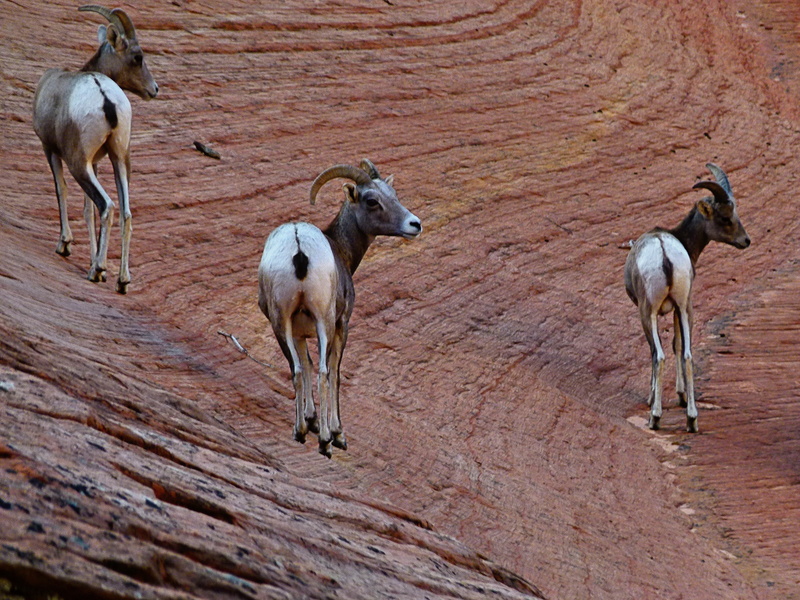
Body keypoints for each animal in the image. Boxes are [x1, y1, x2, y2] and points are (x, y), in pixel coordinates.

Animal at [33, 5, 158, 294]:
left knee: (107, 205)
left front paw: (65, 245)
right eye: (138, 57)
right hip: (120, 159)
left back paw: (97, 270)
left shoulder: (51, 150)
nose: (154, 89)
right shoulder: (98, 161)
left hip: (78, 164)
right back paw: (122, 280)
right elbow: (88, 211)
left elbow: (62, 191)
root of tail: (105, 98)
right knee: (125, 212)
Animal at [258, 159, 422, 457]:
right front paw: (337, 433)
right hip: (324, 319)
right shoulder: (341, 323)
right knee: (324, 372)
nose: (414, 224)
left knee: (296, 370)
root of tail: (298, 245)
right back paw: (325, 441)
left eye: (394, 195)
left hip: (279, 323)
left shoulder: (298, 332)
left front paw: (310, 420)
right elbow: (334, 371)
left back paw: (299, 432)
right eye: (372, 201)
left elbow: (305, 366)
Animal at [624, 163, 750, 432]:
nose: (746, 241)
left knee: (658, 355)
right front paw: (681, 398)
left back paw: (655, 417)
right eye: (726, 217)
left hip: (648, 312)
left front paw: (653, 399)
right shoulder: (677, 308)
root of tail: (664, 254)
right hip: (686, 308)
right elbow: (679, 346)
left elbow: (659, 351)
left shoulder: (657, 312)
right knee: (689, 355)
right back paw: (692, 419)